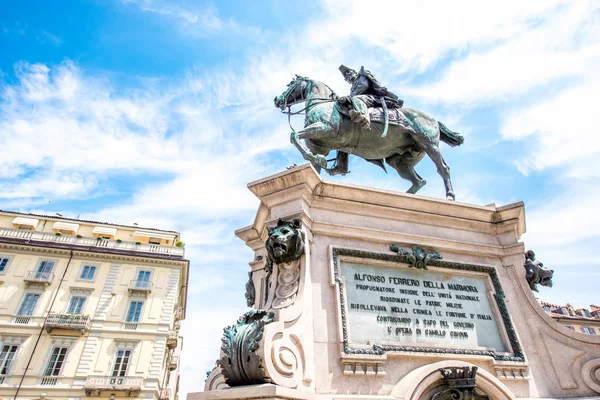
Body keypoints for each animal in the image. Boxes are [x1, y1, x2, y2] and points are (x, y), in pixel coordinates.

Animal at [274, 75, 466, 200]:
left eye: (290, 84)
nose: (277, 99)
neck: (322, 105)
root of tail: (434, 119)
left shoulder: (324, 128)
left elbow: (293, 135)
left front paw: (315, 159)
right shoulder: (320, 146)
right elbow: (313, 163)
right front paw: (316, 162)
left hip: (429, 145)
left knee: (443, 169)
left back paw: (449, 196)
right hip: (399, 161)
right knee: (419, 181)